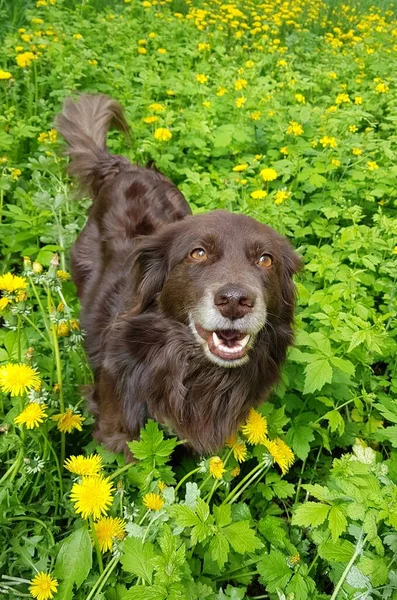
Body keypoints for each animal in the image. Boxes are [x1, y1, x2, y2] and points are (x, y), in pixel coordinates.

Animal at [55, 96, 300, 458]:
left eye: (265, 259)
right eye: (197, 253)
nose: (235, 301)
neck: (196, 371)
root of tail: (125, 168)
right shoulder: (119, 430)